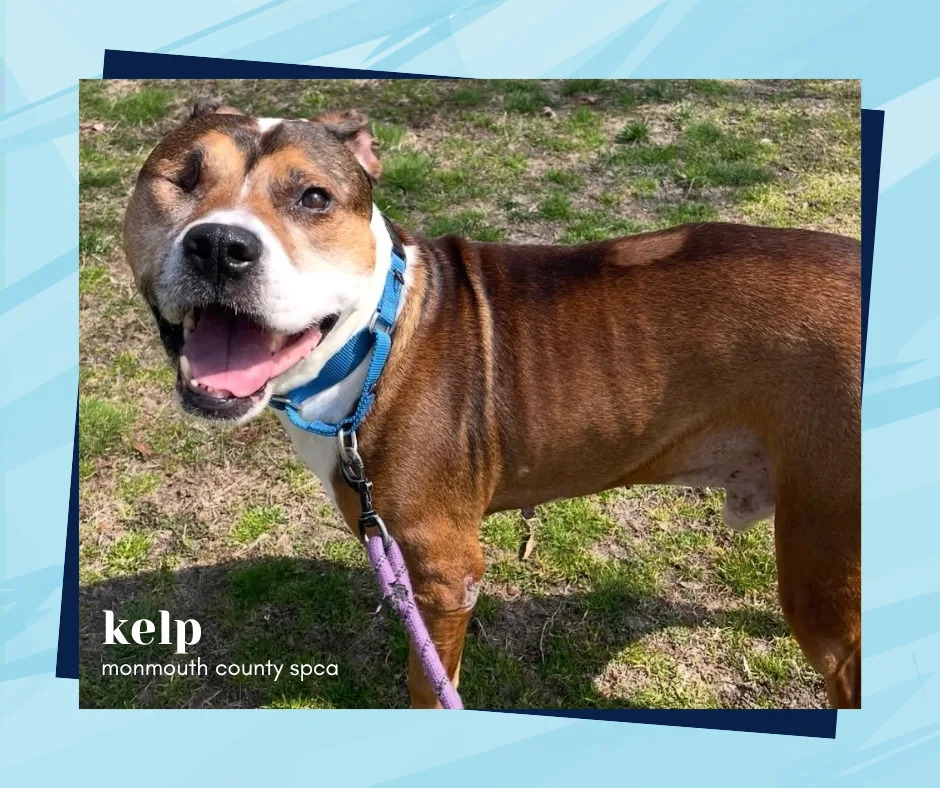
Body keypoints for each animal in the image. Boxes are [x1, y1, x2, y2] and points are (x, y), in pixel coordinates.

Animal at [123, 102, 861, 709]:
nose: (220, 245)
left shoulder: (447, 572)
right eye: (181, 179)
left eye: (312, 197)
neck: (374, 338)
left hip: (824, 573)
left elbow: (428, 683)